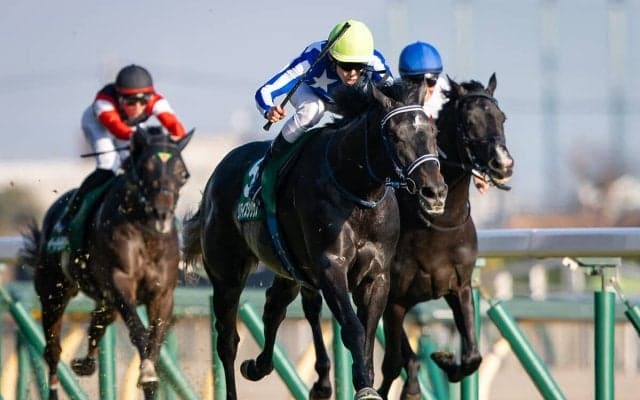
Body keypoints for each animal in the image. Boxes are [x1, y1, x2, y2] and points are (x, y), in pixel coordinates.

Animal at [18, 126, 193, 400]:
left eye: (183, 174)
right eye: (146, 168)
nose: (162, 214)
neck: (147, 236)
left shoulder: (163, 295)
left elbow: (154, 343)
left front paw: (150, 379)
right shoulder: (120, 284)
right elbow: (138, 331)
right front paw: (147, 373)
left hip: (104, 300)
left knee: (98, 323)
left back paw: (85, 363)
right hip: (53, 293)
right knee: (53, 350)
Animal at [182, 81, 447, 400]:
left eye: (432, 132)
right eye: (394, 135)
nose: (434, 191)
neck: (357, 191)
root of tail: (215, 175)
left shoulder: (377, 275)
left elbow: (368, 331)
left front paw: (364, 382)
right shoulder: (330, 267)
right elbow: (352, 328)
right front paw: (364, 388)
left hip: (288, 267)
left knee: (274, 307)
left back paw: (259, 366)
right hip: (227, 274)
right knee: (228, 340)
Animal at [377, 73, 514, 399]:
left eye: (501, 117)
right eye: (468, 121)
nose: (503, 164)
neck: (438, 224)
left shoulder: (459, 286)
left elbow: (473, 356)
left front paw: (444, 359)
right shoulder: (394, 298)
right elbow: (393, 362)